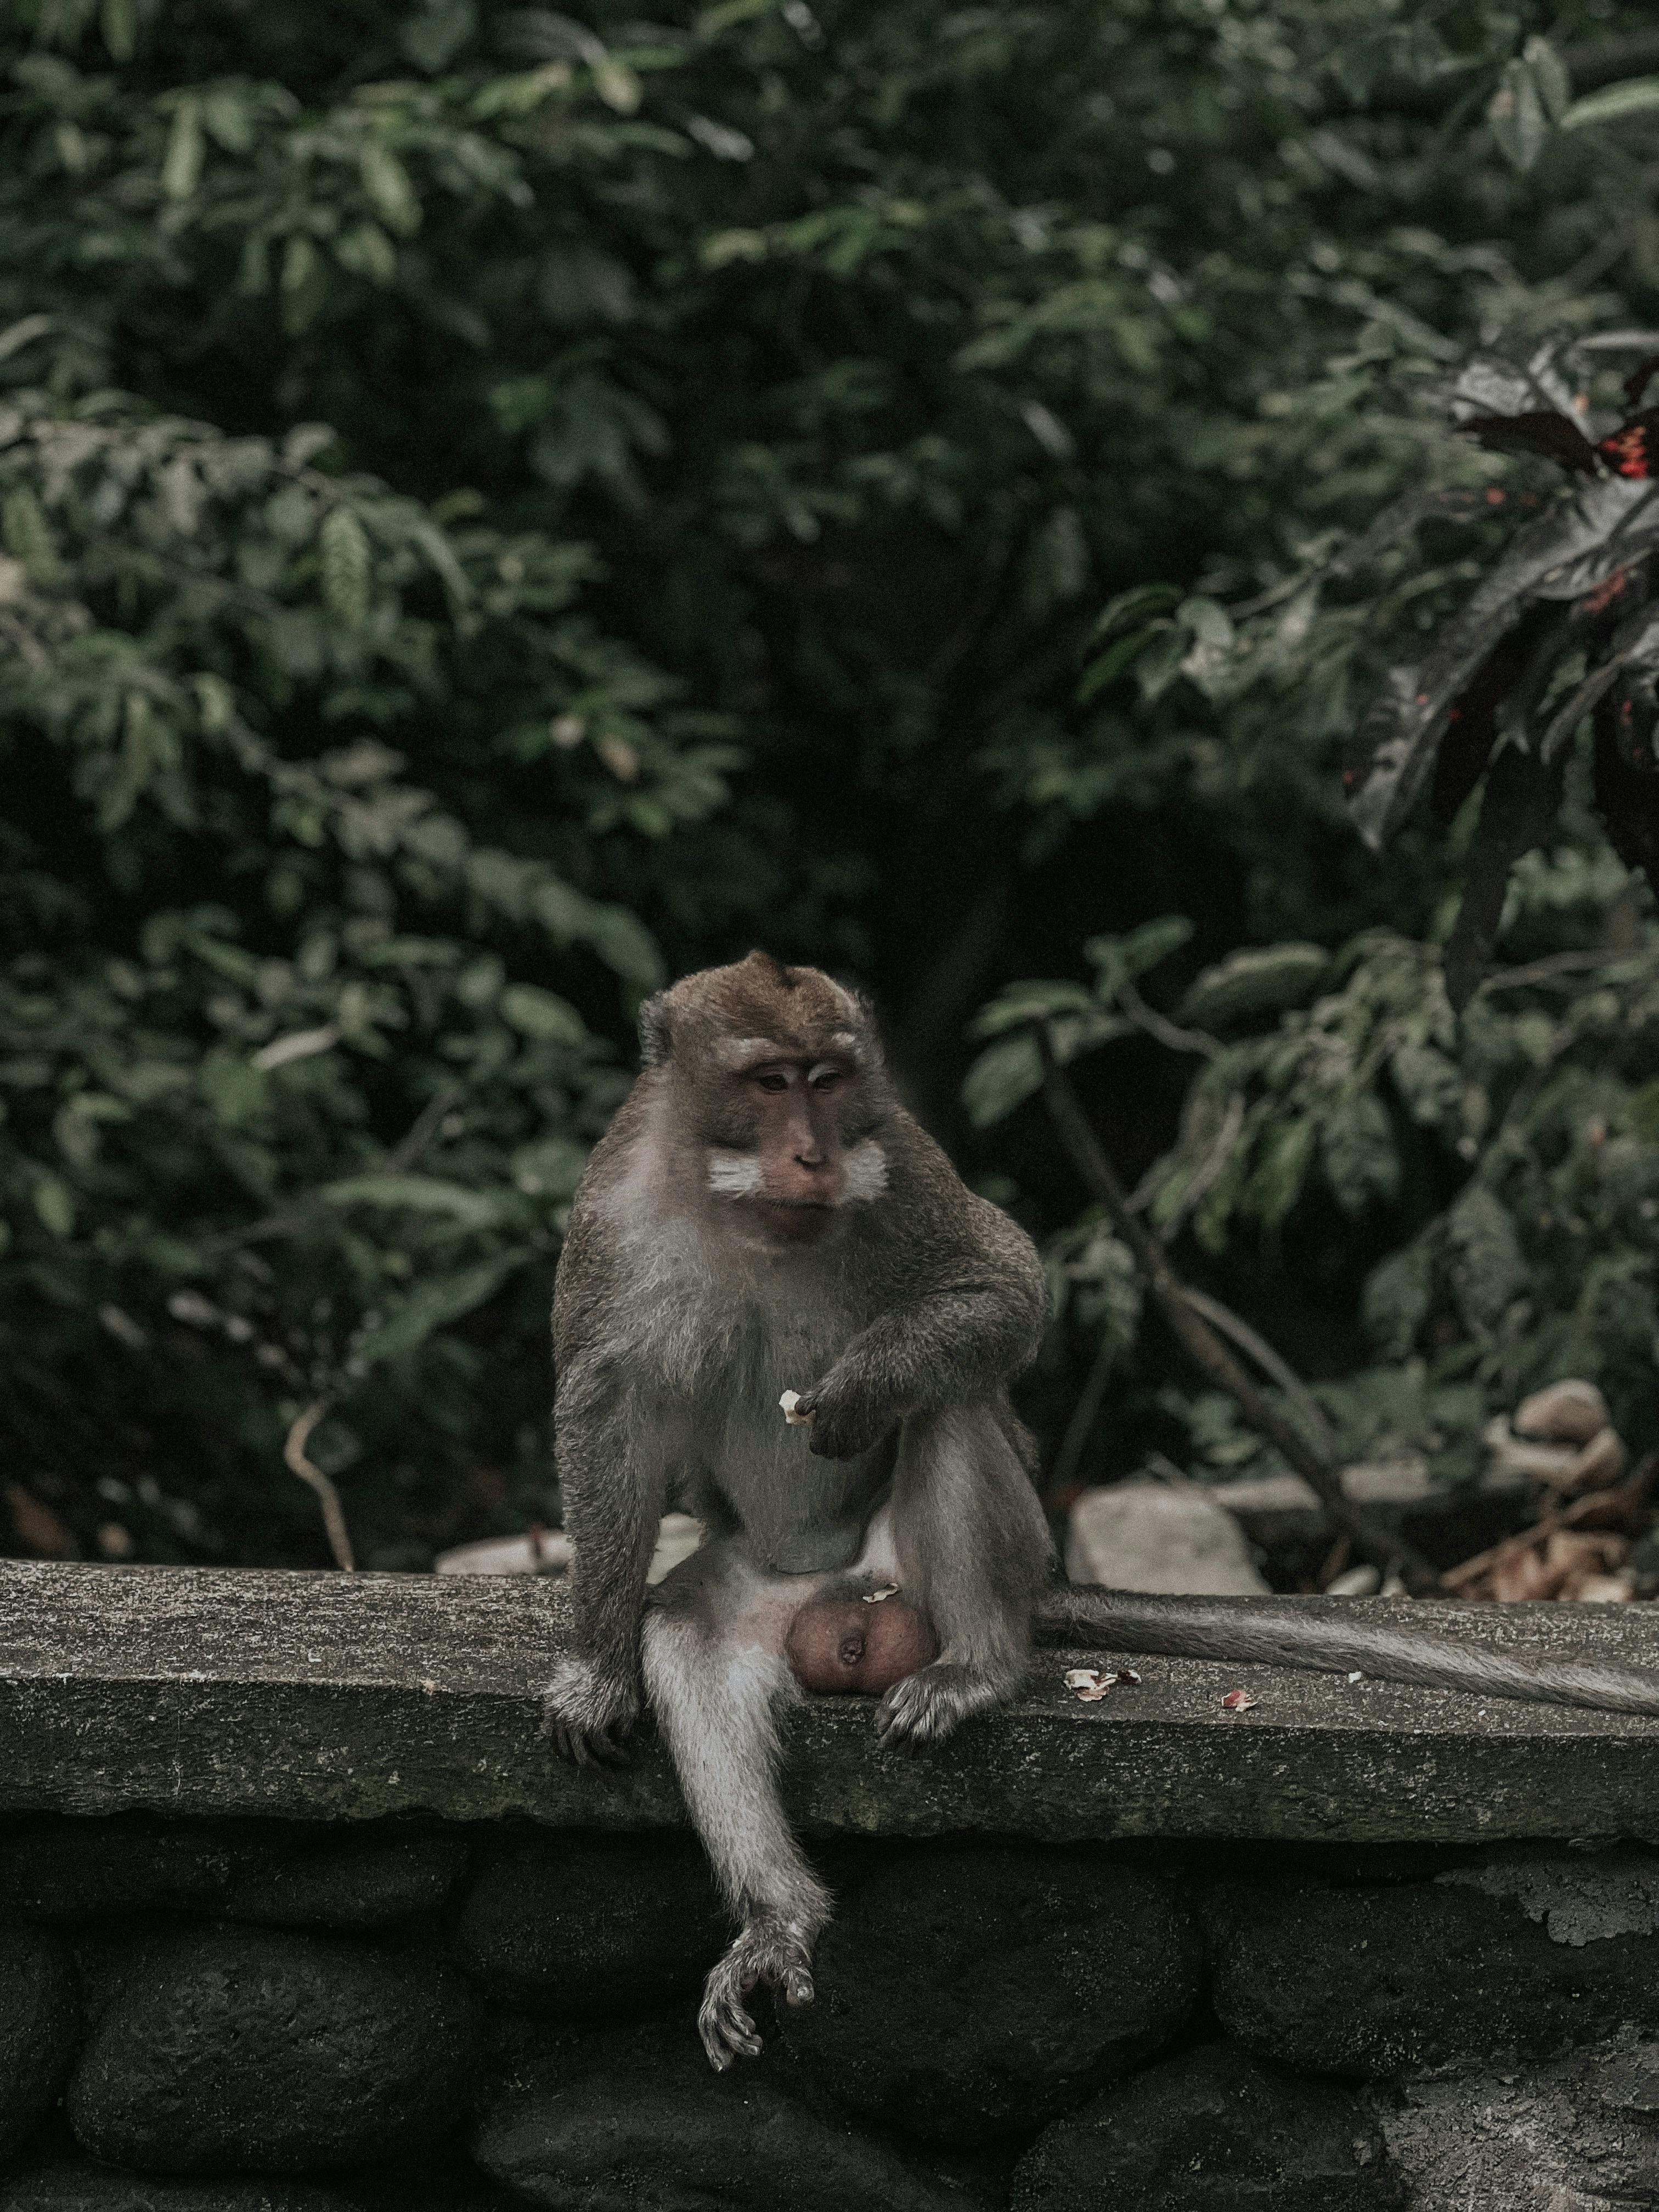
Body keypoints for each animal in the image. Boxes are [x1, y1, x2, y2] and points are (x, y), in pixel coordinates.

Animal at [545, 951, 1659, 2072]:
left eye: (827, 1077)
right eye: (770, 1082)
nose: (814, 1152)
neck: (752, 1219)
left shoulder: (895, 1150)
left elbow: (1003, 1287)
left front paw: (865, 1387)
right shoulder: (612, 1212)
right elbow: (607, 1408)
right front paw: (595, 1672)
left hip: (953, 1564)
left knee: (952, 1403)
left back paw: (978, 1668)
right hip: (765, 1588)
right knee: (690, 1639)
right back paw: (777, 1917)